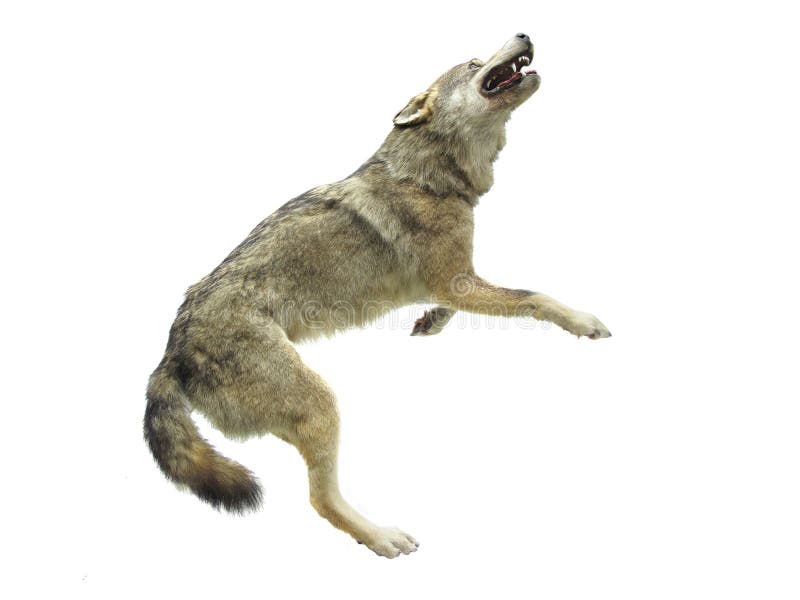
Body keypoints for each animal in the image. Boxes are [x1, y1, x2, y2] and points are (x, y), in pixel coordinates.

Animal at [144, 33, 611, 558]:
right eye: (474, 62)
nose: (525, 33)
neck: (429, 178)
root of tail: (170, 354)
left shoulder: (453, 281)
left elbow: (459, 304)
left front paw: (431, 321)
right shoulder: (459, 279)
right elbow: (534, 296)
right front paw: (584, 321)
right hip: (322, 403)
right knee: (320, 501)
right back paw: (382, 536)